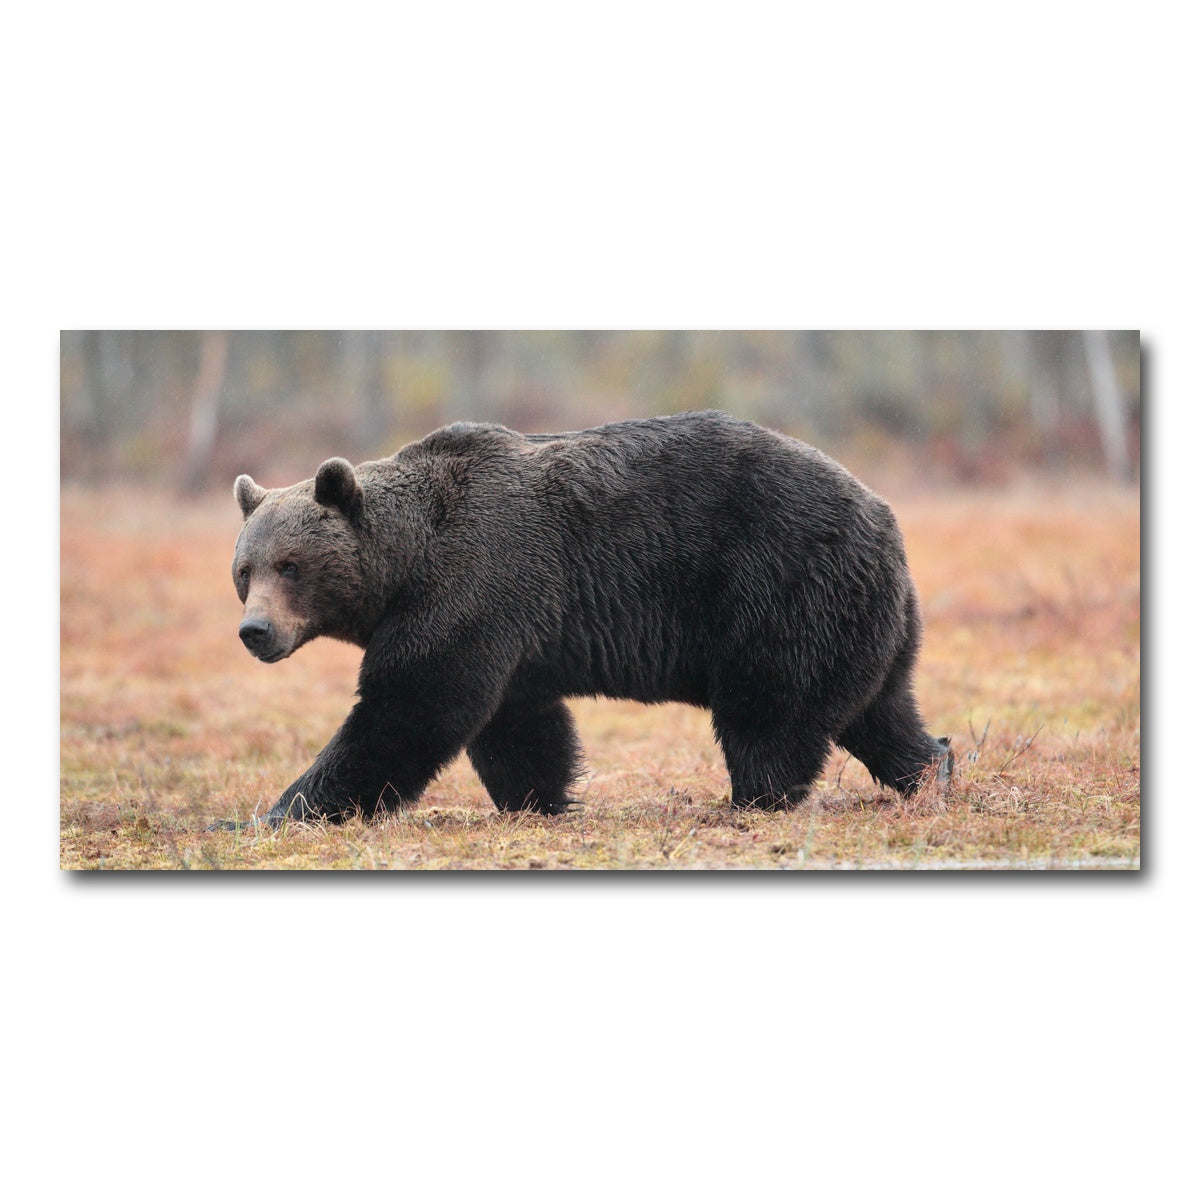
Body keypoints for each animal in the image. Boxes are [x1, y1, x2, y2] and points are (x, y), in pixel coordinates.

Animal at [210, 410, 951, 830]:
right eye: (244, 571)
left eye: (291, 566)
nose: (255, 632)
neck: (405, 565)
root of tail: (884, 514)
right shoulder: (510, 626)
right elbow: (518, 724)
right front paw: (542, 799)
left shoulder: (473, 582)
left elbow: (410, 709)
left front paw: (279, 811)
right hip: (867, 617)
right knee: (880, 710)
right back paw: (932, 768)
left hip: (780, 584)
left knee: (771, 710)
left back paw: (753, 799)